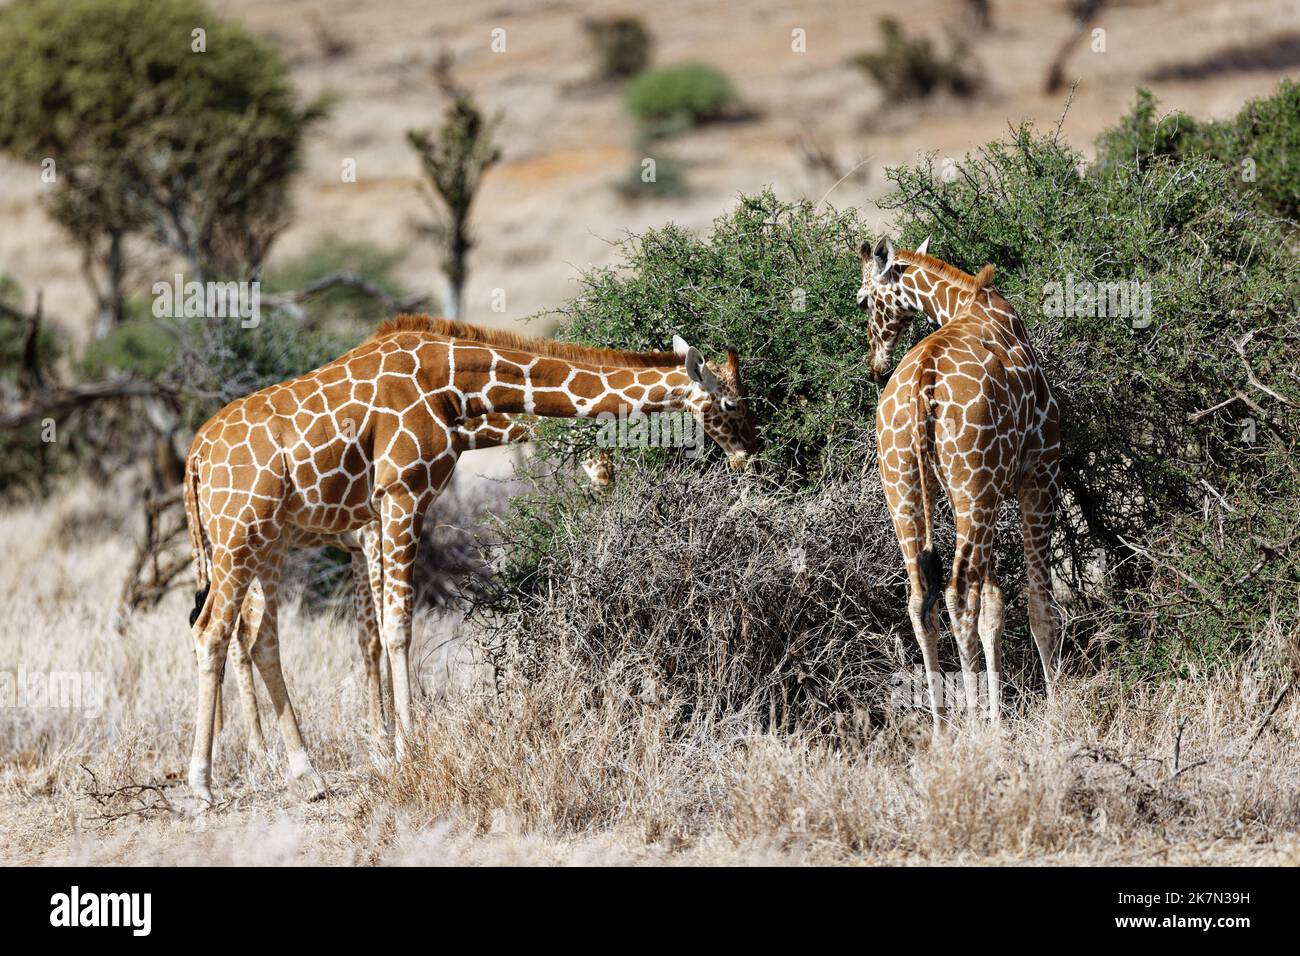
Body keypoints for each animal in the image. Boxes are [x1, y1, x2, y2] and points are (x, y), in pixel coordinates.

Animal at [183, 315, 757, 802]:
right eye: (732, 406)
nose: (747, 454)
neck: (455, 384)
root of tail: (196, 453)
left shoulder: (379, 517)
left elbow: (376, 632)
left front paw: (389, 747)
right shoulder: (398, 499)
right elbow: (393, 628)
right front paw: (404, 750)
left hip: (268, 542)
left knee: (259, 640)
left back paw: (305, 774)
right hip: (239, 536)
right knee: (213, 632)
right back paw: (205, 783)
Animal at [856, 237, 1061, 731]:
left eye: (864, 301)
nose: (875, 362)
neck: (967, 300)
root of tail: (921, 385)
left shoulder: (983, 493)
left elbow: (995, 606)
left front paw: (1001, 711)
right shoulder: (1038, 476)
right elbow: (1037, 602)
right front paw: (1057, 708)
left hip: (906, 489)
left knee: (920, 601)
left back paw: (940, 724)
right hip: (974, 491)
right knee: (958, 594)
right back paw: (974, 721)